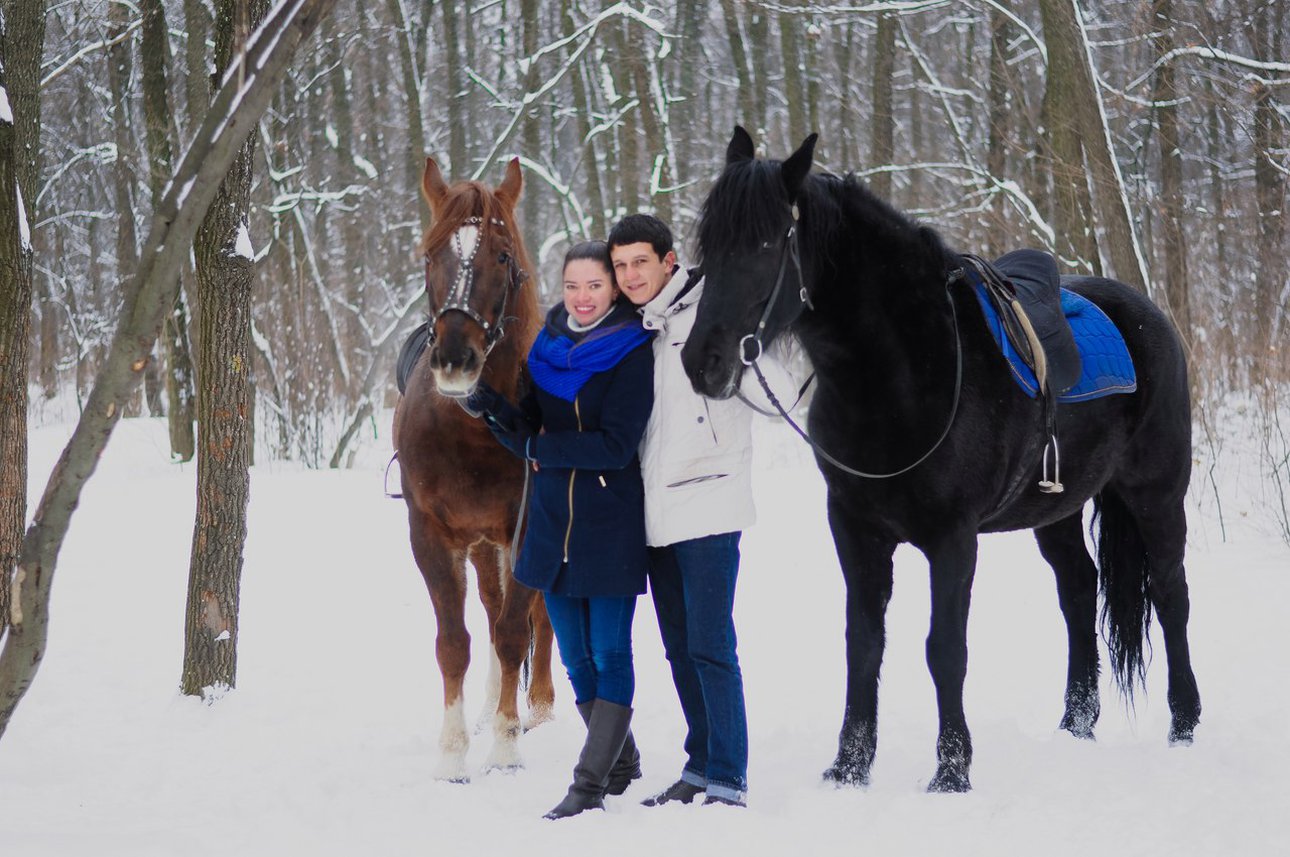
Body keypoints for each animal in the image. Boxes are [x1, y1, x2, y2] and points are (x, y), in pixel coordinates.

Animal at [392, 157, 554, 779]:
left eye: (502, 257)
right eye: (429, 254)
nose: (456, 360)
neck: (474, 427)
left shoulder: (527, 529)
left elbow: (513, 633)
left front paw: (507, 745)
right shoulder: (433, 534)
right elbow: (455, 641)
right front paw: (453, 753)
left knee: (536, 621)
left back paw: (538, 710)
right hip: (482, 545)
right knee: (488, 607)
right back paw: (489, 708)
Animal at [686, 129, 1197, 795]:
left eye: (767, 243)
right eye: (707, 245)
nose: (703, 363)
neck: (901, 373)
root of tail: (1151, 316)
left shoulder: (952, 538)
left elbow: (944, 650)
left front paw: (951, 771)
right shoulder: (855, 530)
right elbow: (863, 644)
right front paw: (849, 768)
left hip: (1156, 495)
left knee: (1170, 594)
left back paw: (1183, 725)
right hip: (1057, 509)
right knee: (1079, 590)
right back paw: (1075, 726)